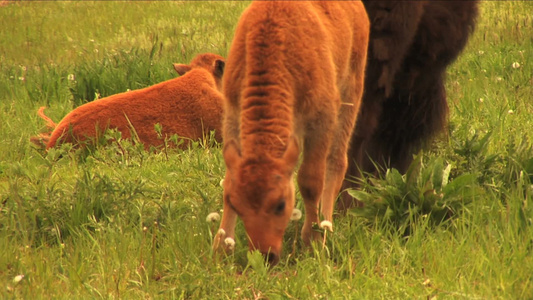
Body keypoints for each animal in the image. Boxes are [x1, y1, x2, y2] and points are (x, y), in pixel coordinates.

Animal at [214, 0, 368, 264]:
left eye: (280, 204)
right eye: (238, 205)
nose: (265, 255)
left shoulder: (321, 120)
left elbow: (310, 180)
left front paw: (313, 240)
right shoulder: (233, 115)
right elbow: (229, 181)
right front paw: (221, 246)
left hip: (350, 93)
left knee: (336, 161)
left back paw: (327, 225)